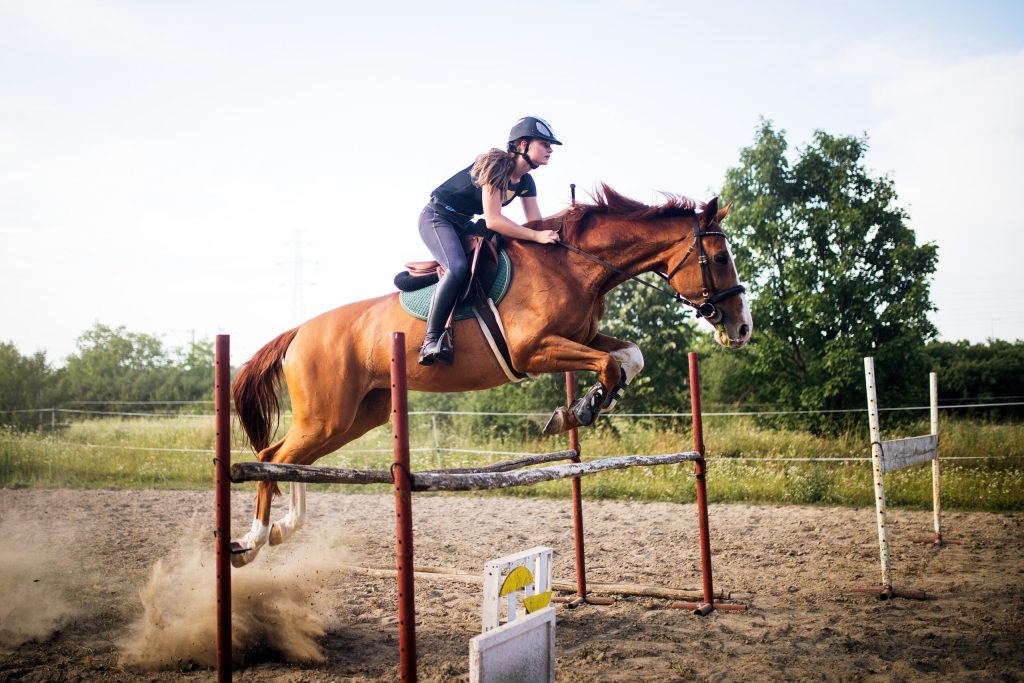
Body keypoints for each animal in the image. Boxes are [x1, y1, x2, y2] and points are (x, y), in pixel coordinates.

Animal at [230, 185, 753, 565]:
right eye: (720, 259)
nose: (742, 327)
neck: (574, 264)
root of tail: (299, 331)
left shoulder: (581, 337)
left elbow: (630, 355)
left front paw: (588, 403)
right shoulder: (533, 351)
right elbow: (608, 362)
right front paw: (581, 409)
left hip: (354, 417)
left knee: (288, 459)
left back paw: (282, 530)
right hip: (328, 415)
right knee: (271, 456)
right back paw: (251, 542)